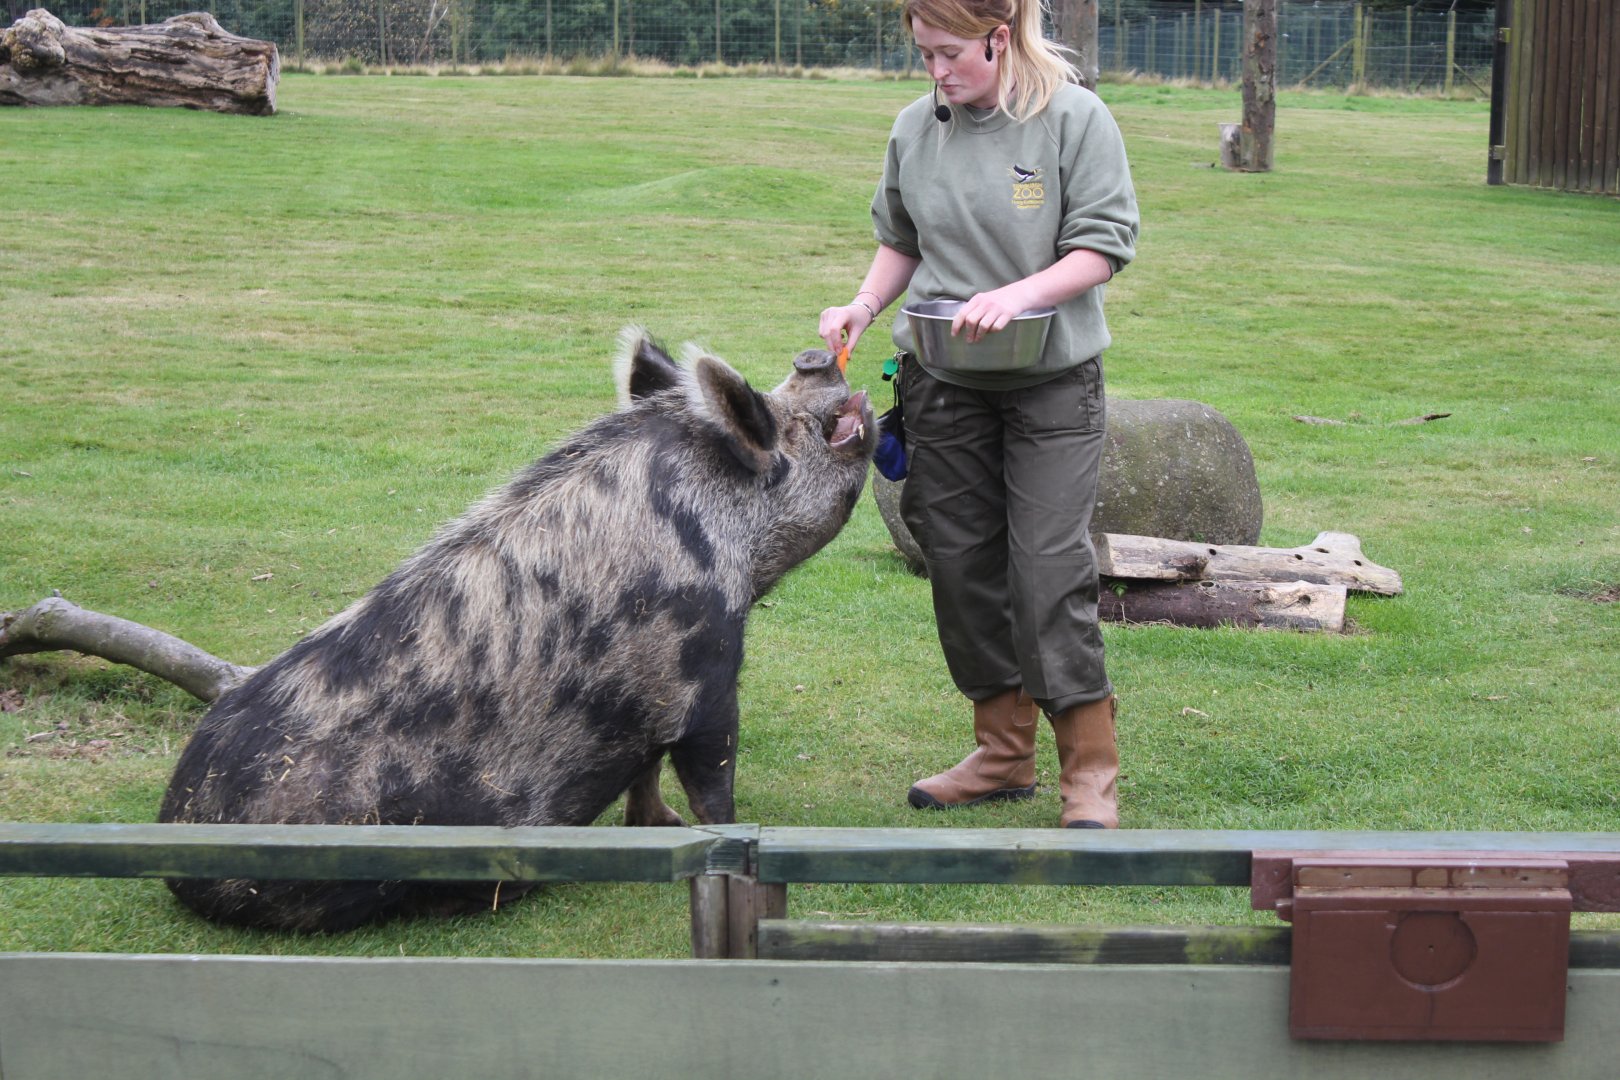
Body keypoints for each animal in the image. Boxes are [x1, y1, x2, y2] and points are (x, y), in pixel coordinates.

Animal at [158, 329, 875, 931]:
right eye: (776, 418)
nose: (812, 355)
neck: (734, 550)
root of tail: (177, 847)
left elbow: (646, 772)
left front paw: (656, 825)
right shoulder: (705, 667)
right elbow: (710, 779)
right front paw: (726, 832)